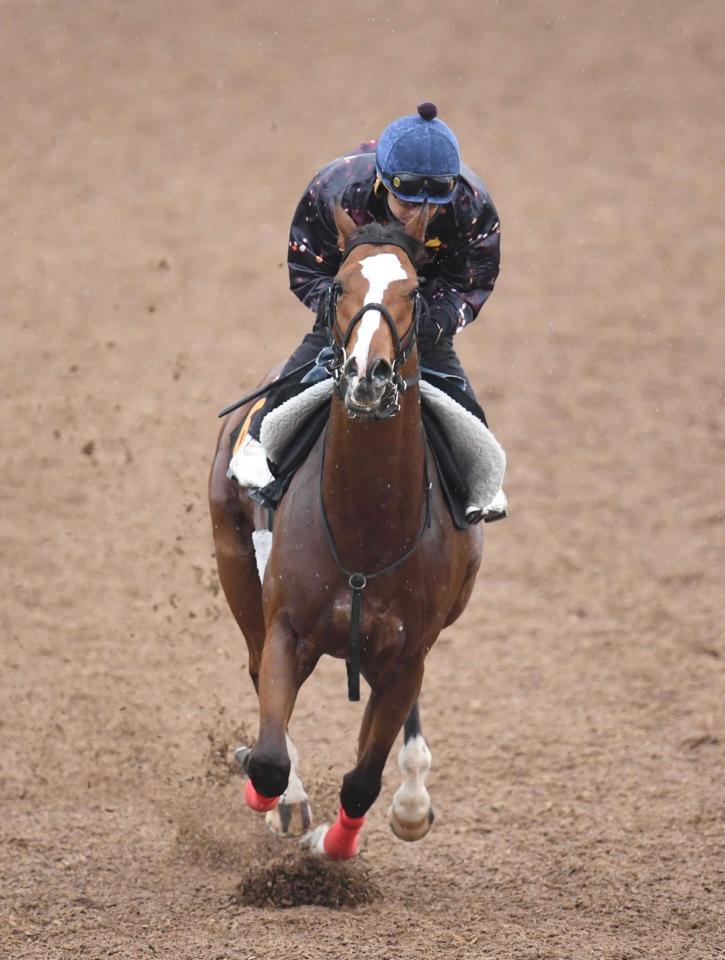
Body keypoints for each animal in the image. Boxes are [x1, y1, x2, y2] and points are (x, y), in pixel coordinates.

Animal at [206, 201, 484, 856]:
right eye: (338, 285)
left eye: (415, 290)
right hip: (234, 563)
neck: (366, 531)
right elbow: (270, 759)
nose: (367, 374)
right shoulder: (287, 630)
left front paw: (339, 843)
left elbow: (362, 777)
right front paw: (280, 801)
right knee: (254, 667)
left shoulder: (408, 654)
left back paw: (412, 796)